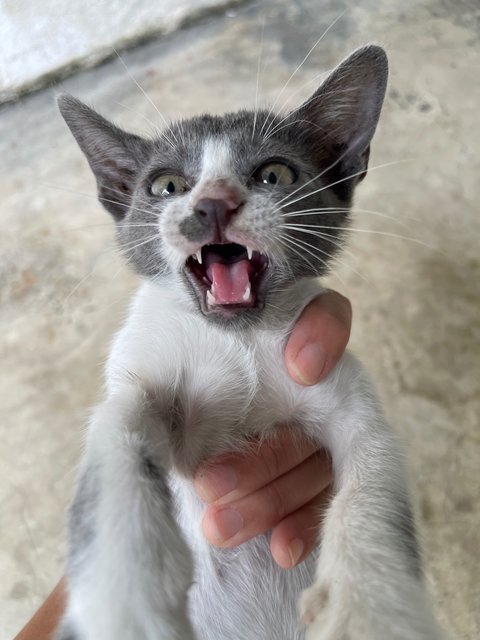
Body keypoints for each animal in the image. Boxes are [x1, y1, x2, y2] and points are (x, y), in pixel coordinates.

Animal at [54, 46, 444, 640]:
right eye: (166, 186)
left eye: (272, 174)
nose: (213, 204)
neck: (239, 341)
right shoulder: (141, 382)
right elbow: (116, 435)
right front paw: (125, 598)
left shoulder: (343, 391)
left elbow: (375, 480)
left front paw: (369, 608)